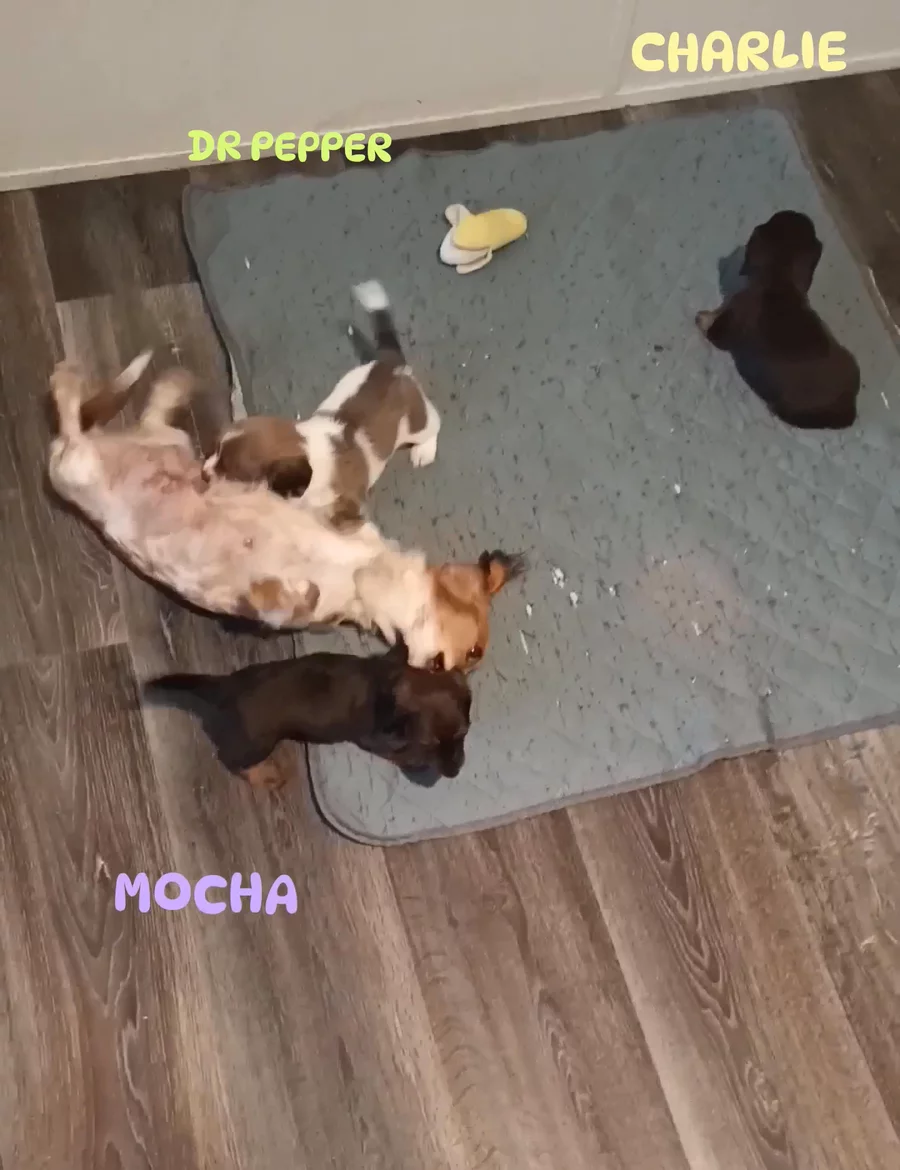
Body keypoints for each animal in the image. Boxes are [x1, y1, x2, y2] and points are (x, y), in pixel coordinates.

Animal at [47, 358, 523, 669]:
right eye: (474, 652)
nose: (446, 675)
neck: (367, 573)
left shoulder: (296, 610)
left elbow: (291, 601)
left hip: (140, 447)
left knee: (129, 412)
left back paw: (160, 384)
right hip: (76, 466)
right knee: (70, 409)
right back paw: (80, 377)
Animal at [142, 640, 472, 788]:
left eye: (463, 734)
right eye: (429, 744)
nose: (455, 773)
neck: (393, 681)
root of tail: (226, 685)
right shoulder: (372, 738)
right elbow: (397, 752)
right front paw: (414, 761)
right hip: (258, 741)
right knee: (229, 758)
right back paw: (263, 775)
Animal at [202, 281, 441, 530]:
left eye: (233, 474)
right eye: (216, 449)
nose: (203, 474)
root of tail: (388, 363)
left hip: (417, 423)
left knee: (434, 425)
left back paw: (423, 450)